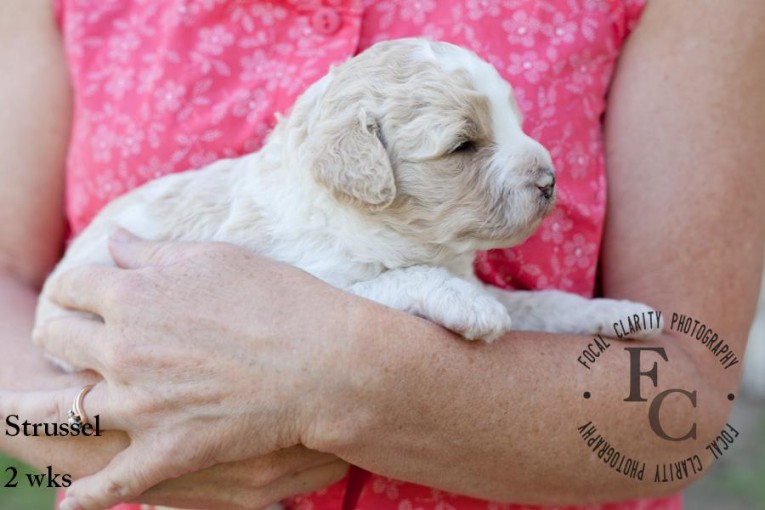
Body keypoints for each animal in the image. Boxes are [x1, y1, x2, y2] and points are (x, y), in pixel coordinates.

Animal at [34, 36, 656, 370]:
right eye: (463, 145)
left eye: (515, 121)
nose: (550, 179)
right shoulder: (314, 286)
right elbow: (404, 280)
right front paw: (470, 308)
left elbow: (545, 302)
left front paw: (618, 312)